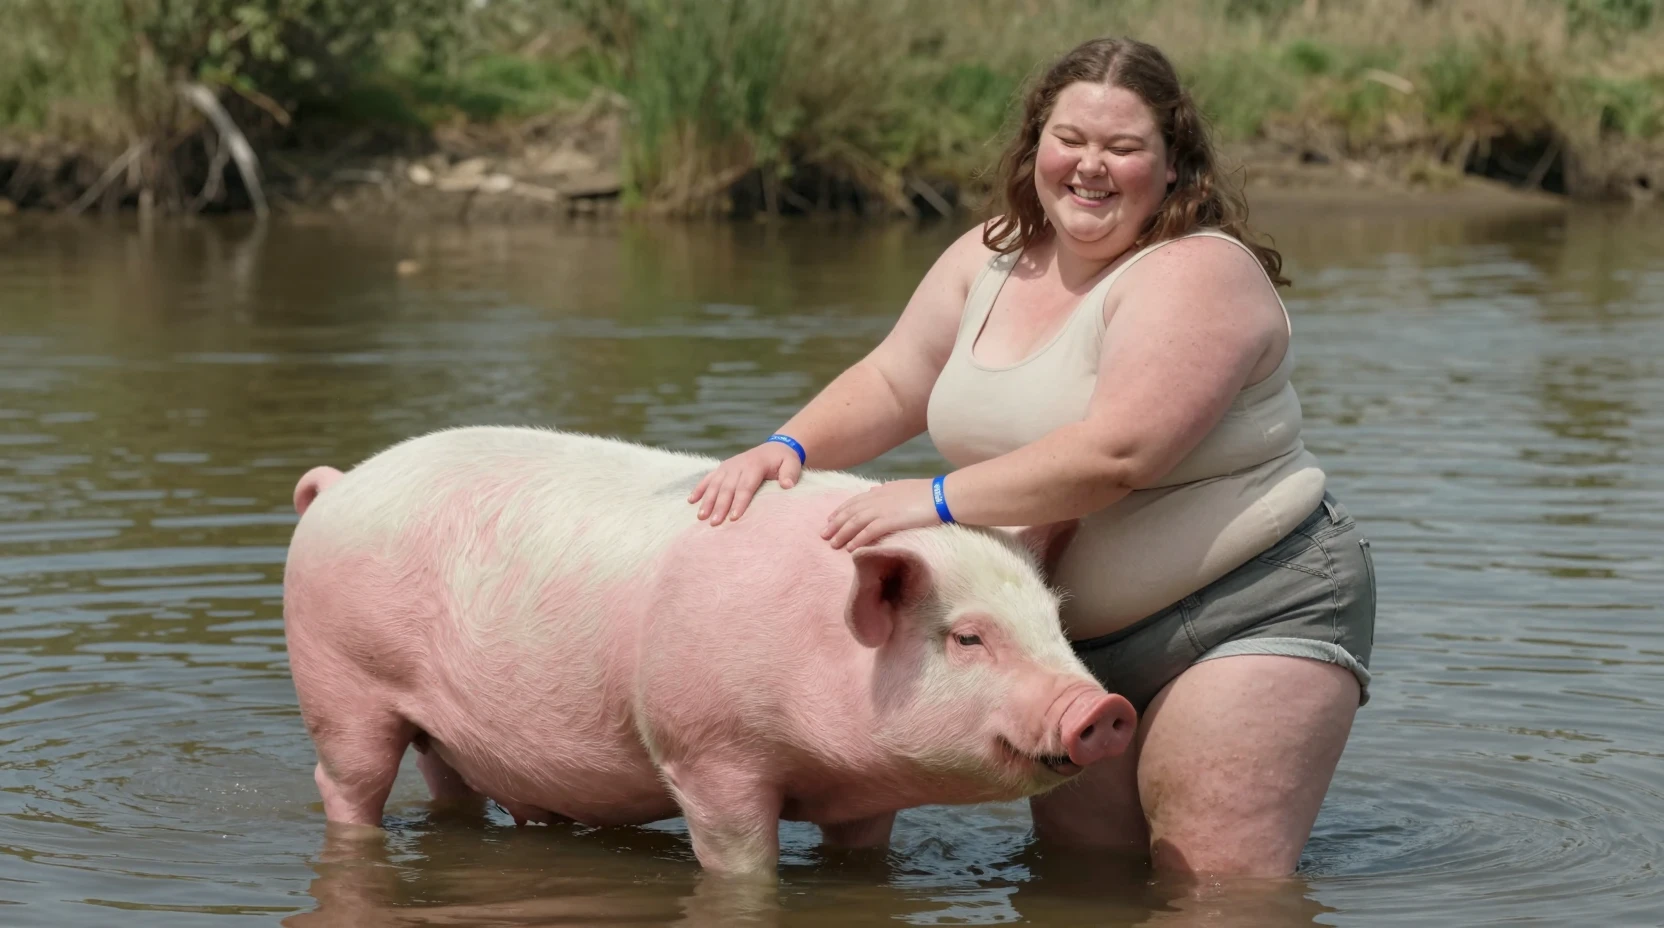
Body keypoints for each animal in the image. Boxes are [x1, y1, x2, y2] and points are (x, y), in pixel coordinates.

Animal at [281, 425, 1135, 878]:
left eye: (1054, 620)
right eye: (967, 636)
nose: (1105, 707)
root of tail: (336, 485)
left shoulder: (868, 797)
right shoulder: (706, 748)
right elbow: (739, 861)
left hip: (440, 730)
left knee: (449, 786)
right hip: (341, 680)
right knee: (346, 781)